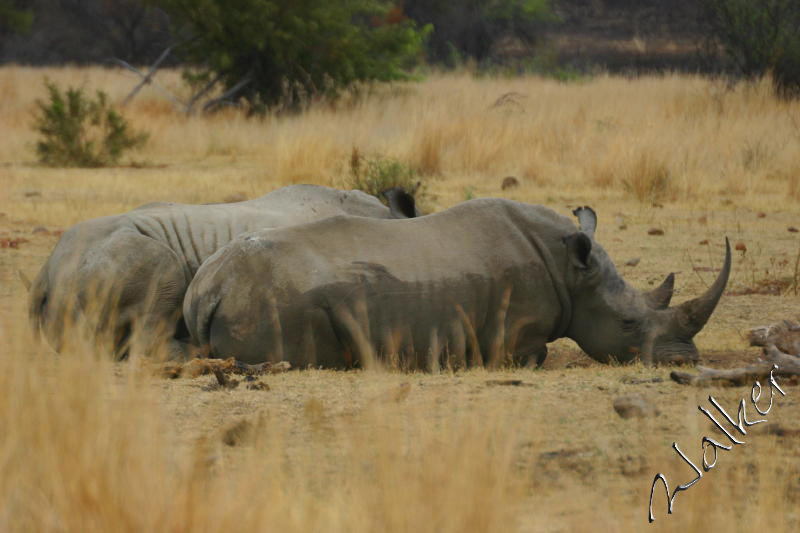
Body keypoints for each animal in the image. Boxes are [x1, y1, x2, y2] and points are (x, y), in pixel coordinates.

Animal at [183, 197, 732, 368]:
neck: (571, 272)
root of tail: (207, 290)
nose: (686, 361)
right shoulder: (517, 330)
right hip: (276, 300)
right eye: (628, 324)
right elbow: (535, 354)